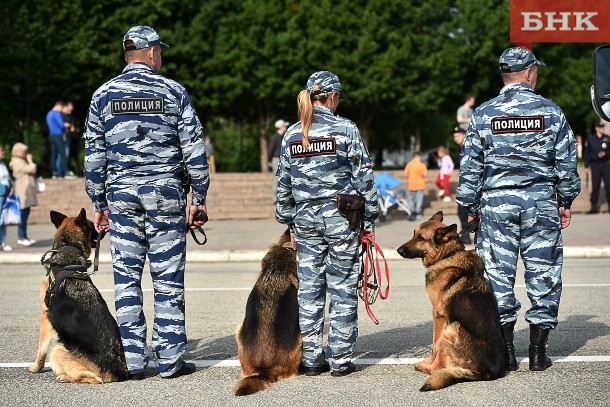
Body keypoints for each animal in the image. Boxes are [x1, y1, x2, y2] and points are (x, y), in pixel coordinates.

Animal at [29, 209, 129, 384]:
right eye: (91, 225)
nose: (103, 229)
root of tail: (119, 372)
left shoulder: (44, 317)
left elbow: (41, 350)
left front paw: (35, 368)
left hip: (58, 349)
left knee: (92, 378)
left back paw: (64, 376)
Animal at [394, 212, 504, 390]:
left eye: (420, 238)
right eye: (413, 234)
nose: (399, 250)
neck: (447, 255)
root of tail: (487, 373)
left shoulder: (438, 315)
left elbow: (434, 346)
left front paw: (428, 360)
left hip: (451, 328)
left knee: (436, 368)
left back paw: (422, 366)